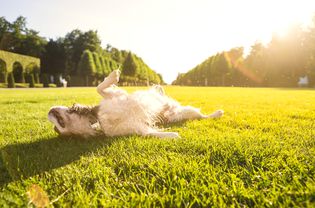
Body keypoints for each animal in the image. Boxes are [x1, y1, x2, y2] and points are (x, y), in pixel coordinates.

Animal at [47, 70, 225, 138]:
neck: (99, 120)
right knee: (202, 117)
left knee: (204, 116)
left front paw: (113, 75)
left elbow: (100, 87)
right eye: (58, 129)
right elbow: (153, 133)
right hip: (184, 113)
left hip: (187, 110)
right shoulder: (139, 129)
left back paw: (217, 113)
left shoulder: (115, 95)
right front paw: (172, 134)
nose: (48, 112)